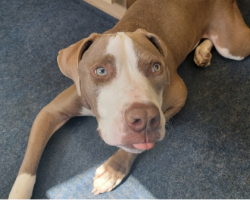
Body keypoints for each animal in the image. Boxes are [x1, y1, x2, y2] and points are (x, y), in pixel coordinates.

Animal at [8, 0, 249, 198]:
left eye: (156, 67)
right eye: (101, 71)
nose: (145, 118)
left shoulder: (178, 97)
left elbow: (134, 147)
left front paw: (112, 169)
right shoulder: (50, 112)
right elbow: (28, 167)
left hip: (233, 46)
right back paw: (202, 52)